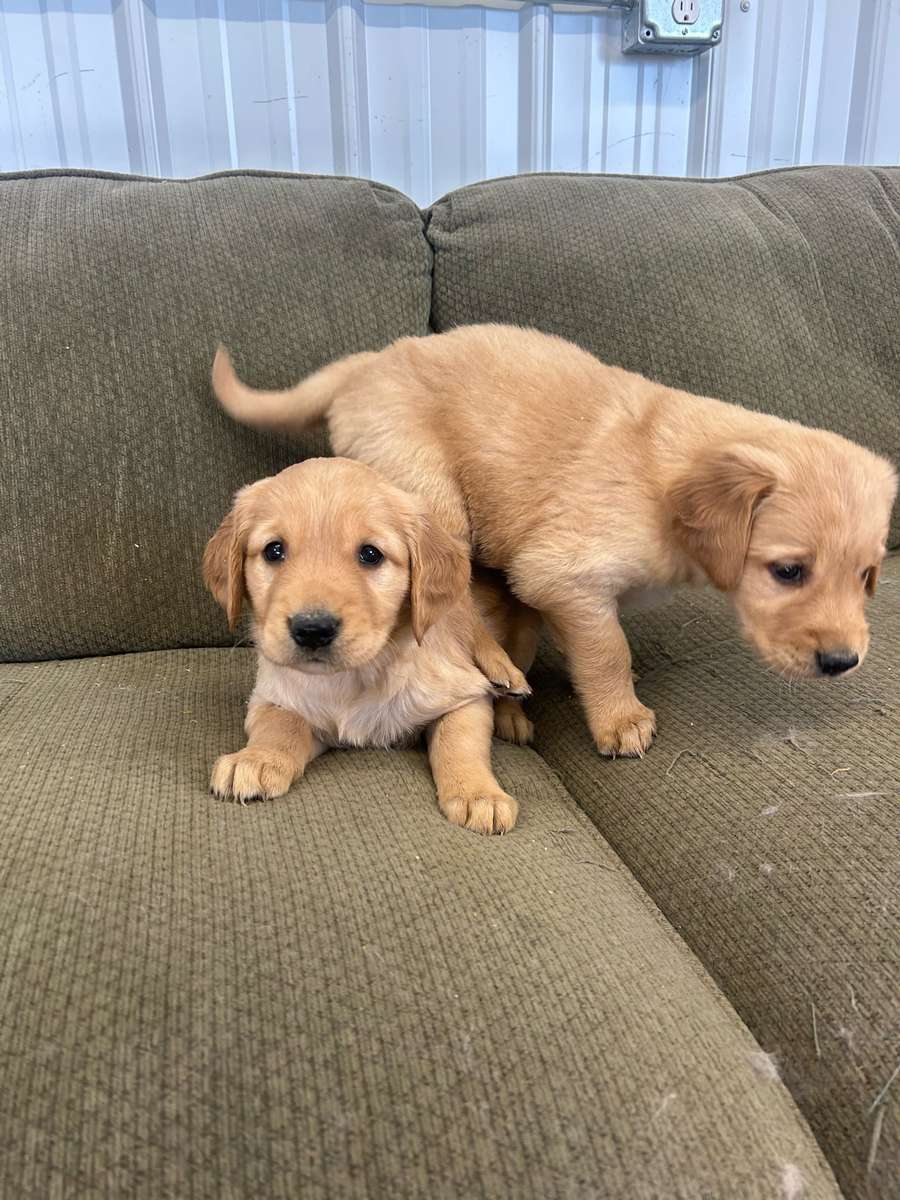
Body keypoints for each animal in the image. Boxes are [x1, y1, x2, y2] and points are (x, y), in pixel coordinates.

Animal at [204, 456, 540, 835]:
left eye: (370, 554)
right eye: (274, 550)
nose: (312, 629)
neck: (356, 676)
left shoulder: (464, 695)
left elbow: (460, 741)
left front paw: (479, 794)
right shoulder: (271, 696)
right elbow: (280, 724)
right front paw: (255, 759)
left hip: (520, 634)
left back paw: (508, 694)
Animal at [211, 326, 897, 758]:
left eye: (868, 576)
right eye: (788, 571)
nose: (842, 663)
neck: (665, 478)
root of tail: (370, 361)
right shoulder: (559, 576)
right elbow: (608, 650)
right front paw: (620, 718)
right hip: (430, 487)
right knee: (452, 600)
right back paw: (498, 670)